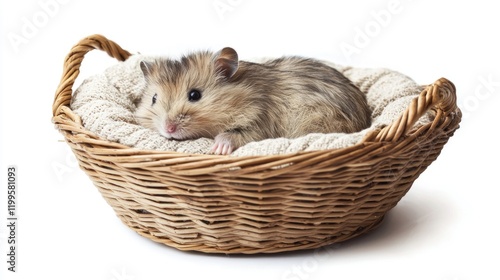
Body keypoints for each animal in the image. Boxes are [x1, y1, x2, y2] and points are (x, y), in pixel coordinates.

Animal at [136, 46, 372, 154]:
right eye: (154, 99)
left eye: (195, 95)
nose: (168, 129)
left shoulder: (260, 124)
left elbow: (236, 134)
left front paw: (218, 148)